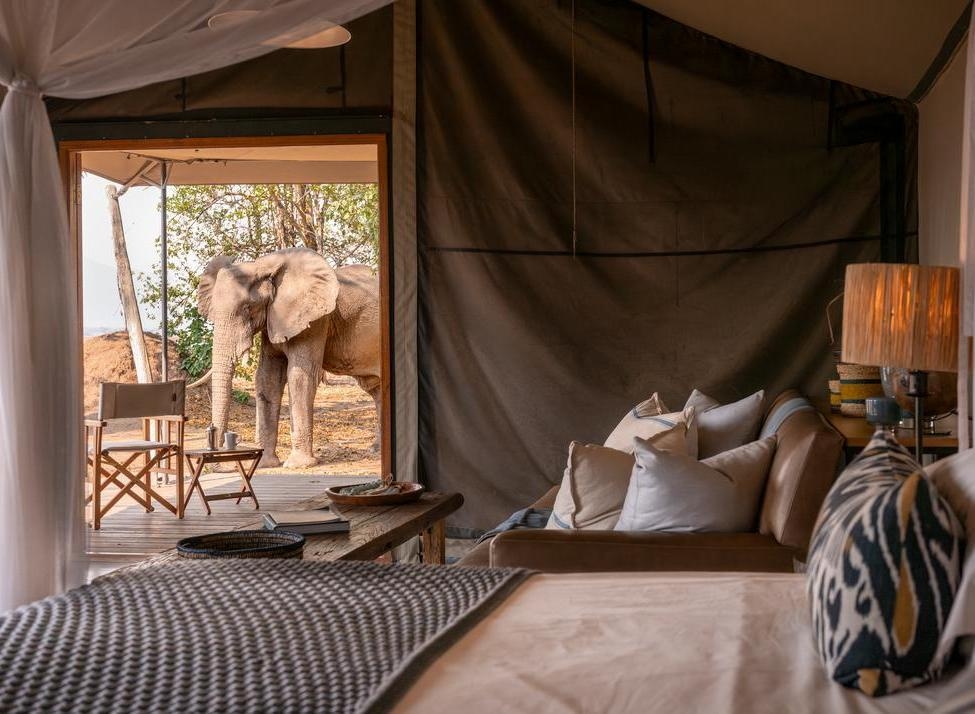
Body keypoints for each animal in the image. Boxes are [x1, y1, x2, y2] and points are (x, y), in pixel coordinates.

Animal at [193, 248, 381, 469]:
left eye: (248, 308)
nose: (218, 462)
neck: (263, 265)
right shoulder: (273, 320)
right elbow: (268, 377)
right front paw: (265, 464)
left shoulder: (315, 321)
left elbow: (299, 376)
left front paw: (298, 465)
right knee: (375, 388)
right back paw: (376, 450)